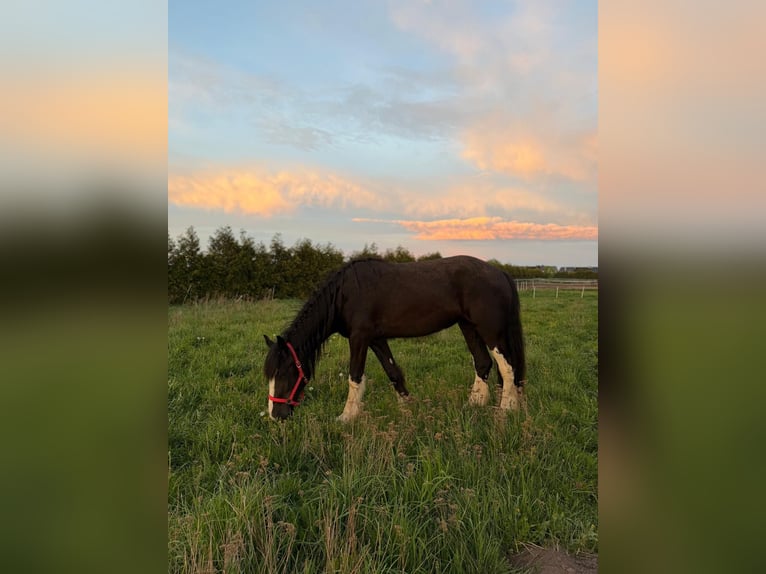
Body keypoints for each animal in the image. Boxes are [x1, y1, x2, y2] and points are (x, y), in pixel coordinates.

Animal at [263, 255, 526, 421]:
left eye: (284, 373)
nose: (276, 416)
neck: (344, 294)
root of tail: (500, 273)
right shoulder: (376, 339)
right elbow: (393, 373)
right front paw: (407, 411)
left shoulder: (359, 338)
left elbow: (354, 377)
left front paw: (346, 417)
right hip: (468, 327)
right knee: (483, 363)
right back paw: (473, 405)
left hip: (490, 331)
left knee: (508, 368)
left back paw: (506, 410)